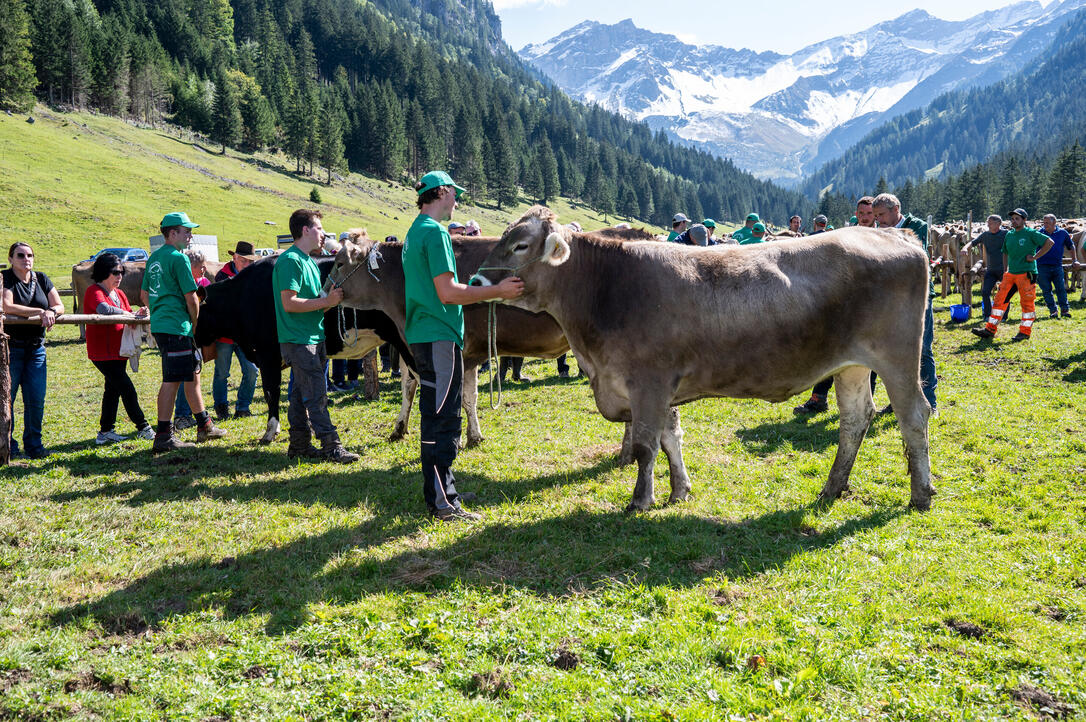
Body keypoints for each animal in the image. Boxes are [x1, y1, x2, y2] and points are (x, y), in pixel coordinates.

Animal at [193, 256, 412, 442]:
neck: (241, 297)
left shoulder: (267, 354)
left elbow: (271, 391)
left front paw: (271, 431)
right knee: (409, 384)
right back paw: (399, 429)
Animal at [327, 233, 569, 445]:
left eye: (339, 263)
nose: (324, 292)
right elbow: (466, 397)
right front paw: (473, 436)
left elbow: (451, 396)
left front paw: (457, 439)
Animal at [471, 207, 938, 512]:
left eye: (520, 245)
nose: (474, 280)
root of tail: (896, 236)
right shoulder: (659, 387)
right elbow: (669, 438)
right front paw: (679, 491)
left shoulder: (649, 380)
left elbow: (645, 445)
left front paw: (641, 500)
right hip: (852, 365)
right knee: (855, 418)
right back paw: (833, 487)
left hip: (897, 355)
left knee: (914, 413)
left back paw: (920, 494)